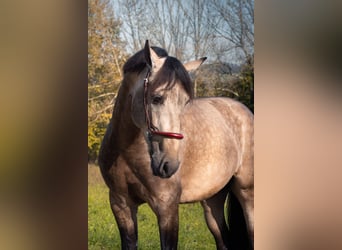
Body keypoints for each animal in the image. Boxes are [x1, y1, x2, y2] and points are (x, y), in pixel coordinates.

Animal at [97, 40, 252, 249]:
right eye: (156, 98)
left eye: (185, 103)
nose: (168, 164)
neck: (127, 153)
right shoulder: (121, 205)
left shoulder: (167, 207)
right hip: (213, 201)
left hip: (248, 195)